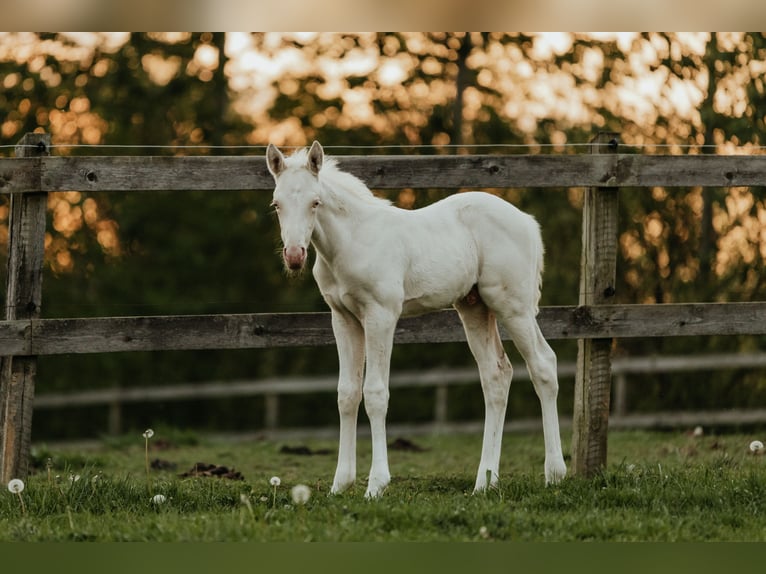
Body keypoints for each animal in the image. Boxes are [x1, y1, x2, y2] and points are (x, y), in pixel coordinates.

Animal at [268, 143, 568, 500]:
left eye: (315, 202)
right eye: (276, 204)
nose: (294, 256)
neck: (351, 242)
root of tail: (527, 221)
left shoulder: (381, 314)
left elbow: (375, 393)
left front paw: (376, 484)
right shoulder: (343, 319)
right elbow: (347, 394)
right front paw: (340, 484)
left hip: (514, 306)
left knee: (543, 365)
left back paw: (555, 474)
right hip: (474, 307)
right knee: (496, 376)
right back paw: (484, 482)